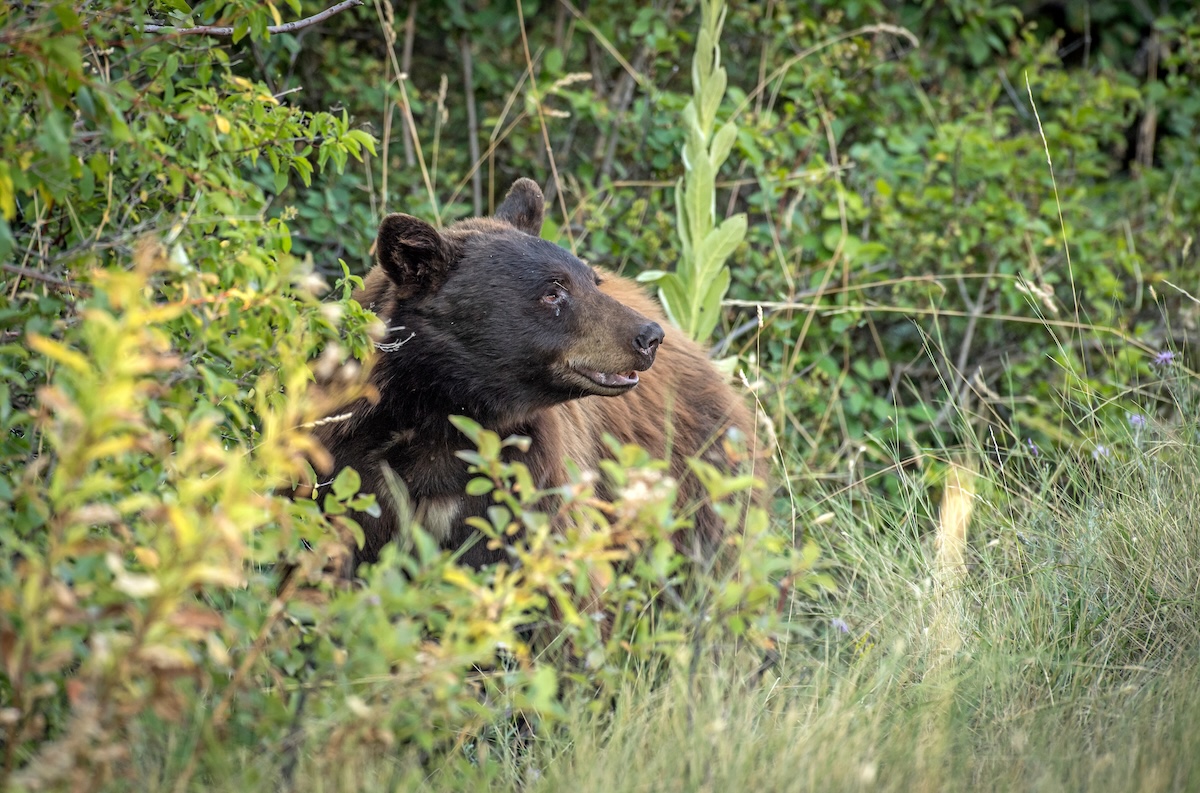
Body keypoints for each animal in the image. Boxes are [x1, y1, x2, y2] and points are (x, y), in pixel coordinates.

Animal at [310, 178, 758, 570]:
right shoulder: (355, 469)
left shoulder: (525, 475)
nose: (649, 336)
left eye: (593, 280)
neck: (444, 418)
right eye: (553, 290)